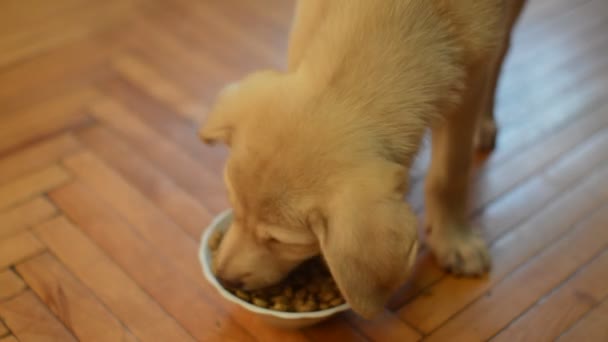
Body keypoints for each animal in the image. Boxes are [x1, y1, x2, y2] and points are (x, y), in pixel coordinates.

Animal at [200, 0, 524, 320]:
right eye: (234, 209)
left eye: (281, 241)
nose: (223, 276)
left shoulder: (470, 81)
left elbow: (449, 175)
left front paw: (453, 239)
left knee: (503, 50)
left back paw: (485, 123)